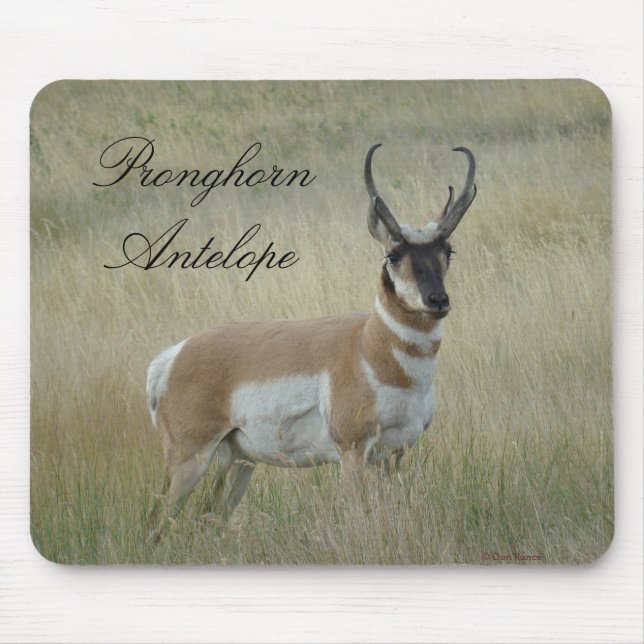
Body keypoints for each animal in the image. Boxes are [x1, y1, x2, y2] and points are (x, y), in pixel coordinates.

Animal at [146, 144, 477, 536]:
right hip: (189, 458)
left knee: (210, 516)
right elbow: (358, 513)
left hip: (238, 461)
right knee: (156, 522)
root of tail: (173, 355)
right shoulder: (353, 452)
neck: (368, 347)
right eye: (393, 254)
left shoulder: (393, 455)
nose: (437, 300)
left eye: (448, 251)